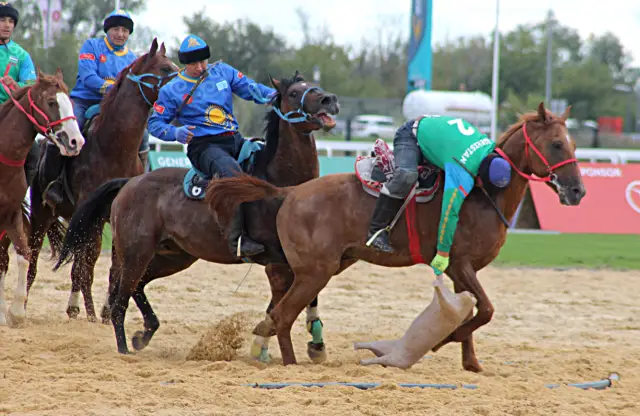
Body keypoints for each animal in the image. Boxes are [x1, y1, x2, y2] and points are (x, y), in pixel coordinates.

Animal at [0, 68, 85, 326]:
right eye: (51, 102)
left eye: (70, 102)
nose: (76, 141)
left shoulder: (11, 216)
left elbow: (23, 256)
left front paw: (15, 312)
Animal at [23, 39, 179, 320]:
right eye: (164, 68)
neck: (112, 149)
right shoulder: (92, 220)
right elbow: (86, 265)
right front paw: (86, 311)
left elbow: (115, 266)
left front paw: (107, 311)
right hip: (42, 214)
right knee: (36, 259)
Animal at [53, 70, 340, 356]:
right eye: (294, 92)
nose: (329, 99)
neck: (280, 185)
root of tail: (130, 183)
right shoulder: (278, 265)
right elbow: (286, 302)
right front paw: (266, 347)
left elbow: (305, 296)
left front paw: (316, 343)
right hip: (137, 253)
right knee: (121, 298)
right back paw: (125, 348)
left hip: (172, 255)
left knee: (137, 286)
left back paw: (144, 334)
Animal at [208, 103, 588, 370]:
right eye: (556, 144)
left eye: (572, 143)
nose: (578, 191)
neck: (484, 189)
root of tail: (289, 193)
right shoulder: (458, 264)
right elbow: (486, 310)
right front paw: (446, 340)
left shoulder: (465, 272)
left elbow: (476, 311)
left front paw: (471, 362)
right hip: (315, 272)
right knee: (283, 316)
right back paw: (290, 365)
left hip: (322, 267)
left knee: (276, 313)